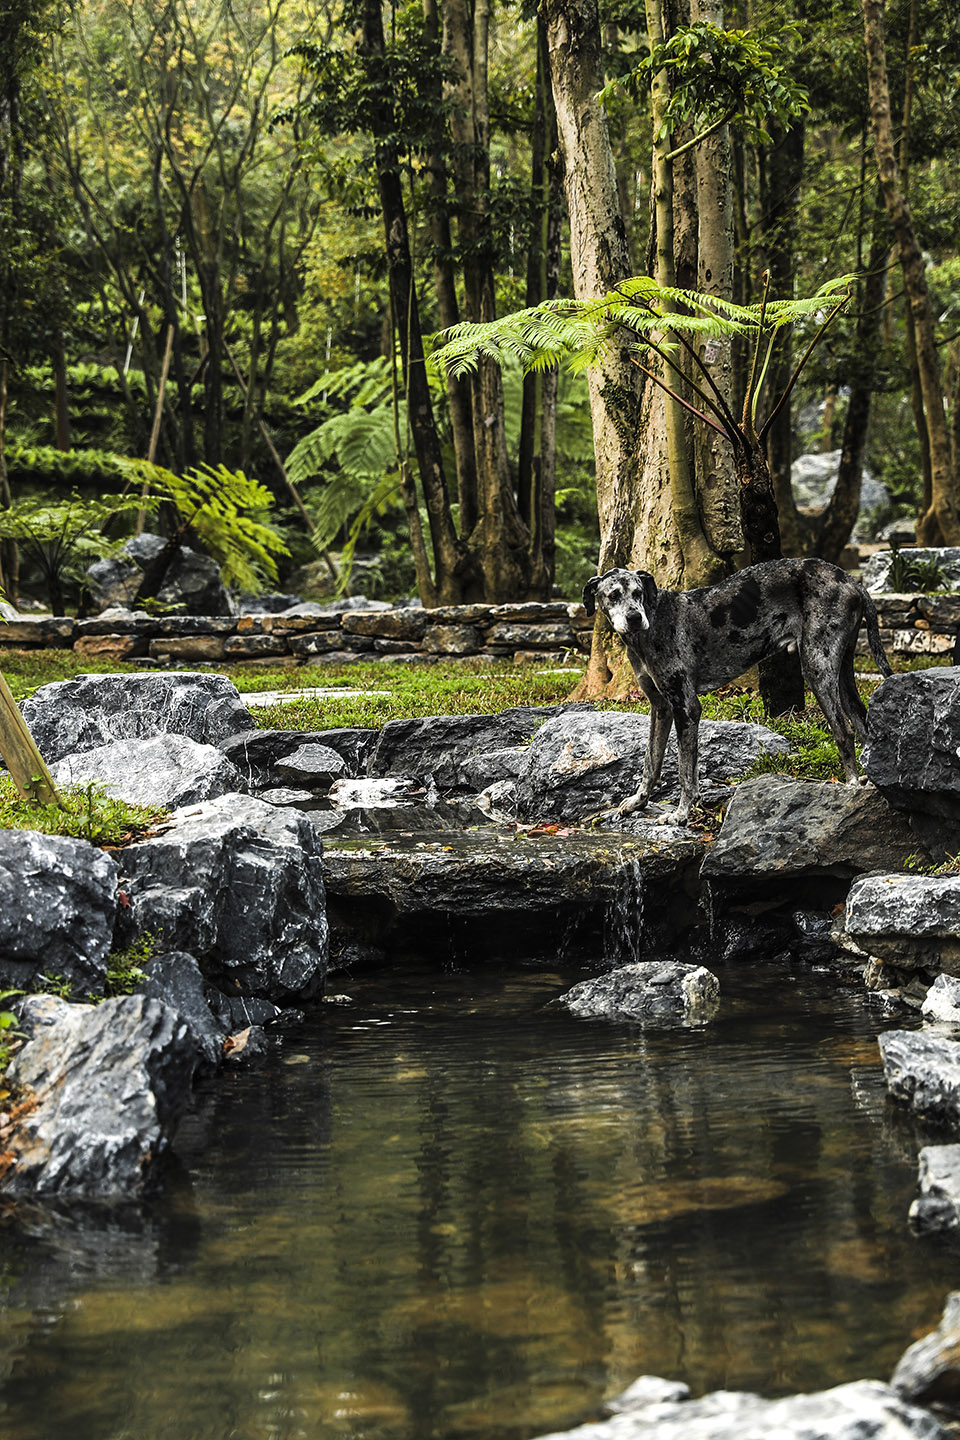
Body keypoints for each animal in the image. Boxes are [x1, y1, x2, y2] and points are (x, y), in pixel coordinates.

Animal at [587, 558, 892, 829]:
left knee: (844, 731)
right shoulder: (661, 708)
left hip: (818, 668)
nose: (634, 617)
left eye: (637, 593)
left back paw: (851, 787)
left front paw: (681, 814)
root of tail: (849, 578)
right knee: (863, 725)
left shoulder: (686, 707)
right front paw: (638, 802)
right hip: (842, 674)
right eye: (613, 595)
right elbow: (651, 760)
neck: (652, 622)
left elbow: (685, 771)